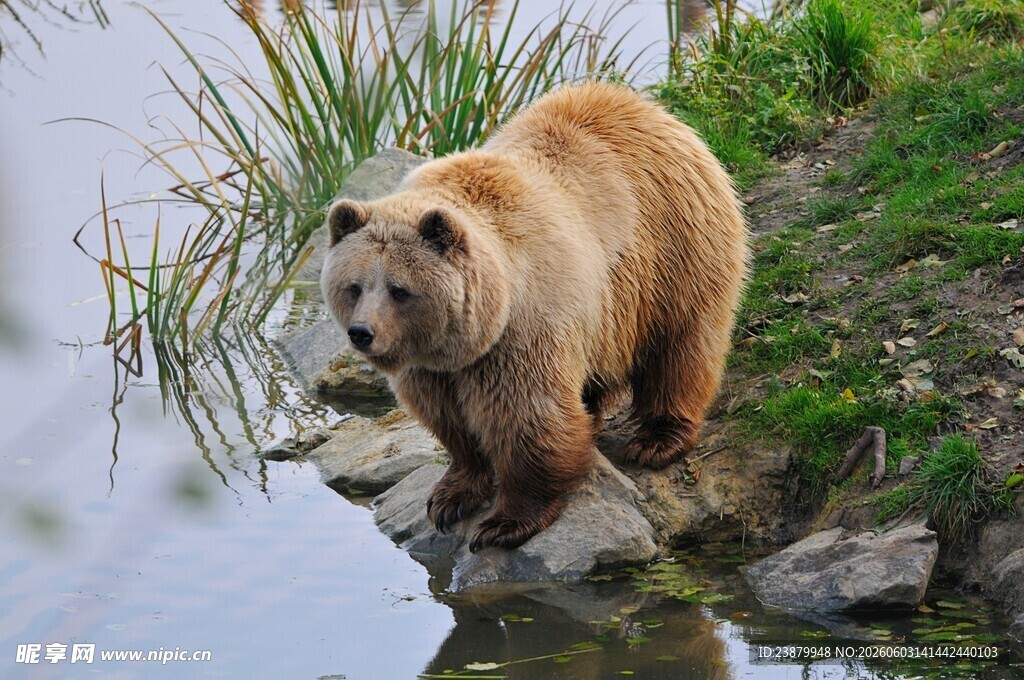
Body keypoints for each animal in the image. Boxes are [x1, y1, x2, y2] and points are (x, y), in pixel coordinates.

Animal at [320, 82, 749, 552]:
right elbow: (450, 421)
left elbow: (528, 419)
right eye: (354, 286)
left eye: (399, 290)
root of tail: (645, 106)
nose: (362, 333)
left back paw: (658, 439)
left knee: (680, 346)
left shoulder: (521, 330)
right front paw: (450, 497)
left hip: (672, 250)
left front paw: (505, 523)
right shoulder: (432, 365)